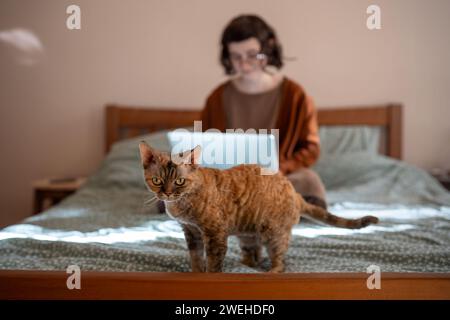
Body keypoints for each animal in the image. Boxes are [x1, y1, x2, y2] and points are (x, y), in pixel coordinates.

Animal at [139, 142, 378, 272]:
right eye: (157, 181)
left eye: (179, 181)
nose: (166, 193)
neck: (180, 205)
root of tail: (295, 193)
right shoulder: (191, 232)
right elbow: (196, 259)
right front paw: (195, 274)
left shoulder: (214, 234)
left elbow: (214, 264)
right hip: (246, 234)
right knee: (253, 255)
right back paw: (245, 263)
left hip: (273, 233)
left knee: (280, 261)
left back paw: (269, 271)